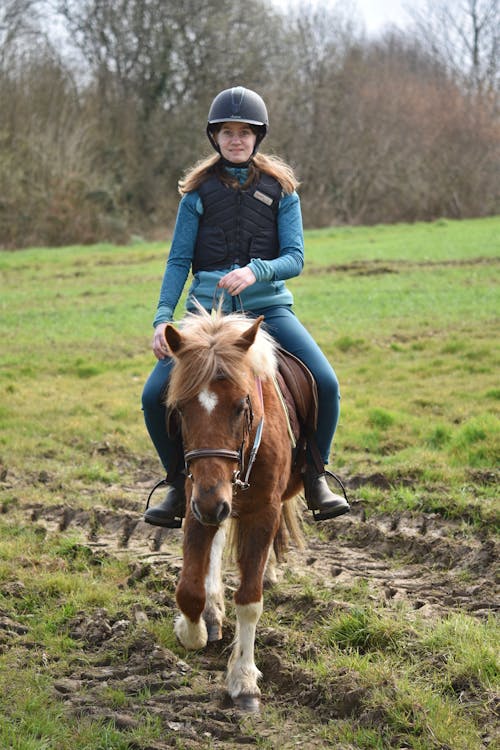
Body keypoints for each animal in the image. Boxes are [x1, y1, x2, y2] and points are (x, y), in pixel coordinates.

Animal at [164, 308, 306, 712]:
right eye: (180, 409)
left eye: (242, 406)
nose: (213, 503)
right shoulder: (197, 498)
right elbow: (189, 589)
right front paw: (193, 628)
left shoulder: (263, 510)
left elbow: (250, 599)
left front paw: (244, 680)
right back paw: (212, 612)